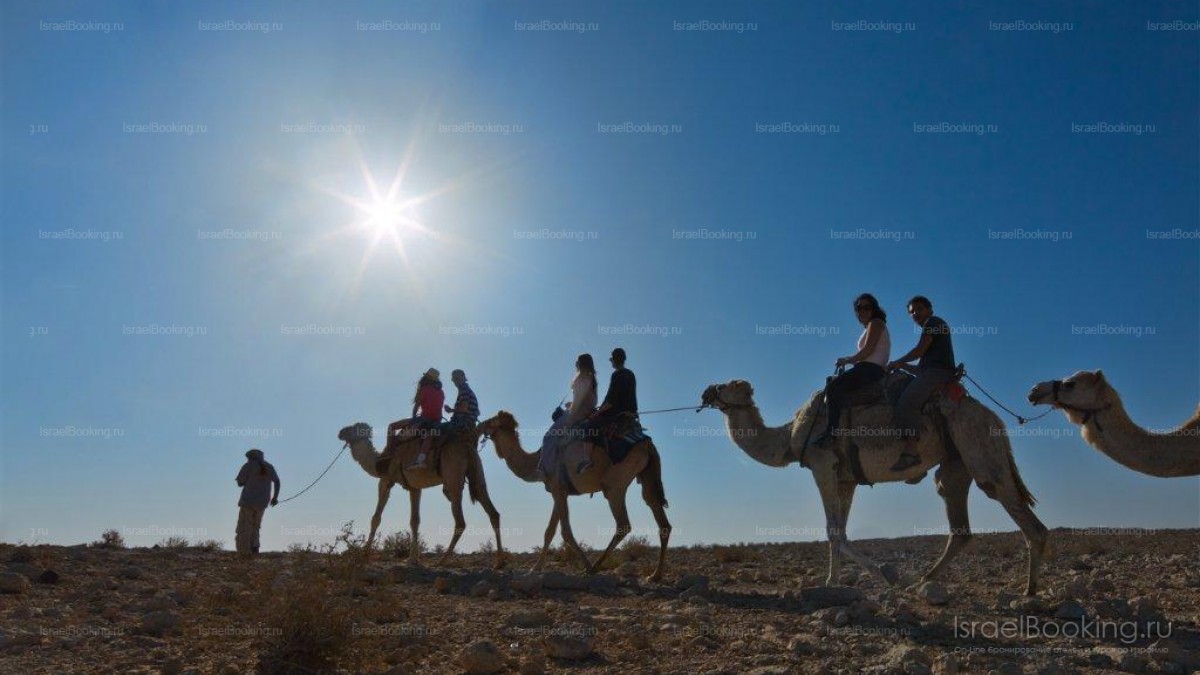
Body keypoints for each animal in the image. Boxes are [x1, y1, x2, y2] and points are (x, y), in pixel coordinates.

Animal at [336, 422, 505, 567]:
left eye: (353, 428)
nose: (340, 432)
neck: (379, 461)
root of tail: (467, 448)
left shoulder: (385, 480)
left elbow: (376, 518)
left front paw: (364, 556)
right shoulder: (414, 487)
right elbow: (415, 520)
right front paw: (412, 559)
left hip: (453, 478)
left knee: (460, 521)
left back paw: (442, 561)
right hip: (477, 472)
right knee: (493, 512)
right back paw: (499, 562)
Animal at [477, 411, 671, 582]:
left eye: (491, 421)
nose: (479, 425)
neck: (536, 461)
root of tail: (647, 445)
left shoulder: (558, 488)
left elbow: (565, 532)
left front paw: (586, 566)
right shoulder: (559, 491)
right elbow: (549, 531)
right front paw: (536, 567)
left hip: (614, 483)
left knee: (623, 524)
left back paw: (595, 567)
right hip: (647, 476)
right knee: (661, 519)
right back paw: (655, 575)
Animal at [701, 379, 1049, 595]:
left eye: (730, 385)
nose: (706, 392)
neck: (790, 437)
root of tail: (995, 418)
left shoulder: (821, 463)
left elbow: (833, 530)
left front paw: (881, 575)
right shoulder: (846, 477)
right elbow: (839, 530)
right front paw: (834, 581)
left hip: (978, 444)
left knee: (1022, 514)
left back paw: (1028, 591)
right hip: (955, 463)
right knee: (958, 521)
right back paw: (921, 582)